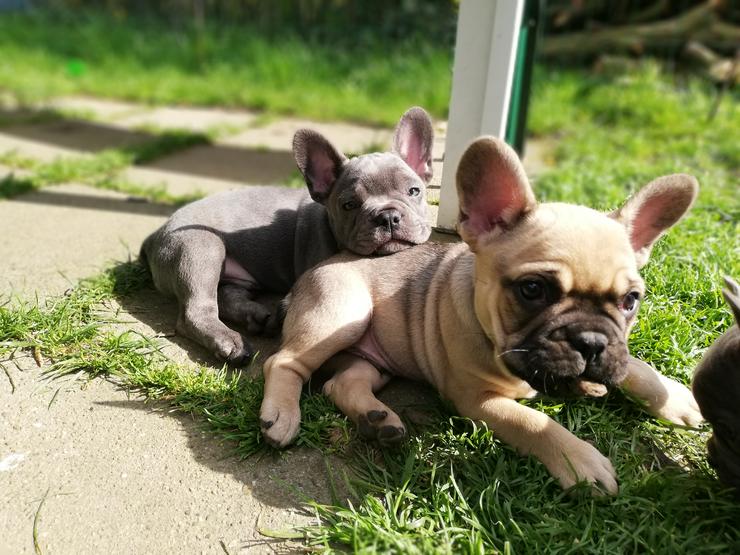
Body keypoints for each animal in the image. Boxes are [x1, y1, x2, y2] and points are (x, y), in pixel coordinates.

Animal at [139, 107, 434, 368]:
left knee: (227, 294)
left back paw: (257, 315)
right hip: (201, 250)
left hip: (237, 274)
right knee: (196, 310)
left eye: (414, 191)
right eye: (349, 205)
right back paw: (231, 342)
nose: (388, 216)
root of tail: (155, 235)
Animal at [260, 136, 704, 496]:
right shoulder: (478, 399)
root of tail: (309, 276)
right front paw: (579, 460)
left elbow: (634, 365)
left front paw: (673, 396)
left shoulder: (616, 352)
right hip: (343, 315)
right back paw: (281, 415)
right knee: (283, 362)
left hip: (373, 358)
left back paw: (379, 419)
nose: (591, 342)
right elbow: (532, 422)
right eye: (532, 290)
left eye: (631, 300)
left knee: (343, 382)